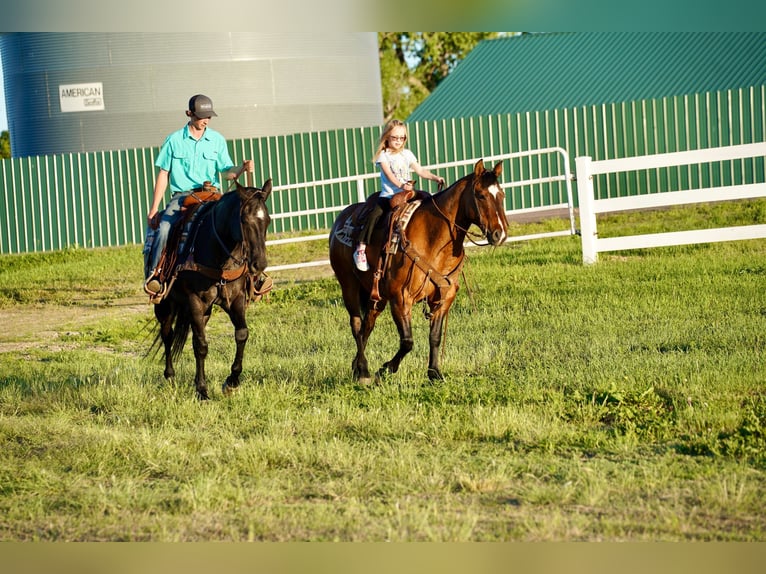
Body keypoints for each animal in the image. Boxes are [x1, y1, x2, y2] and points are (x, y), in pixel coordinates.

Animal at [150, 180, 272, 400]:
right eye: (244, 220)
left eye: (267, 220)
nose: (259, 264)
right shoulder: (195, 301)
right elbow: (201, 345)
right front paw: (202, 391)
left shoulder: (236, 299)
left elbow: (241, 334)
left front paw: (231, 382)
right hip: (165, 305)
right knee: (167, 334)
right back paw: (170, 377)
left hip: (203, 312)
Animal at [330, 161, 510, 388]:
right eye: (480, 195)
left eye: (501, 194)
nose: (500, 234)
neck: (434, 238)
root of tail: (340, 220)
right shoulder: (400, 298)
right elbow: (407, 341)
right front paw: (386, 368)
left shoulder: (444, 298)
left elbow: (435, 336)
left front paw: (434, 373)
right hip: (349, 286)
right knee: (356, 325)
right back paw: (363, 371)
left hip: (376, 296)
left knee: (366, 326)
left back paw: (357, 367)